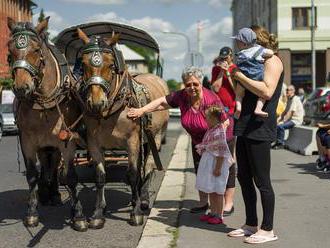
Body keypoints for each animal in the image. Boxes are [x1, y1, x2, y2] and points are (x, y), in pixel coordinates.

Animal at [7, 18, 87, 232]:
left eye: (36, 50)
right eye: (10, 51)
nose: (22, 88)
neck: (44, 103)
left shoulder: (67, 140)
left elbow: (70, 176)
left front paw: (78, 215)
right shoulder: (27, 141)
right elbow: (32, 175)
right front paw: (32, 213)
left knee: (54, 163)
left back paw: (55, 195)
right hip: (44, 144)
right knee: (47, 163)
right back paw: (46, 193)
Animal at [74, 28, 168, 228]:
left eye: (111, 65)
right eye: (83, 65)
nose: (96, 103)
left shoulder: (132, 141)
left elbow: (133, 174)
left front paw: (136, 212)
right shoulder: (94, 143)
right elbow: (100, 176)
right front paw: (98, 213)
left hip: (154, 136)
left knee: (148, 166)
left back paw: (143, 198)